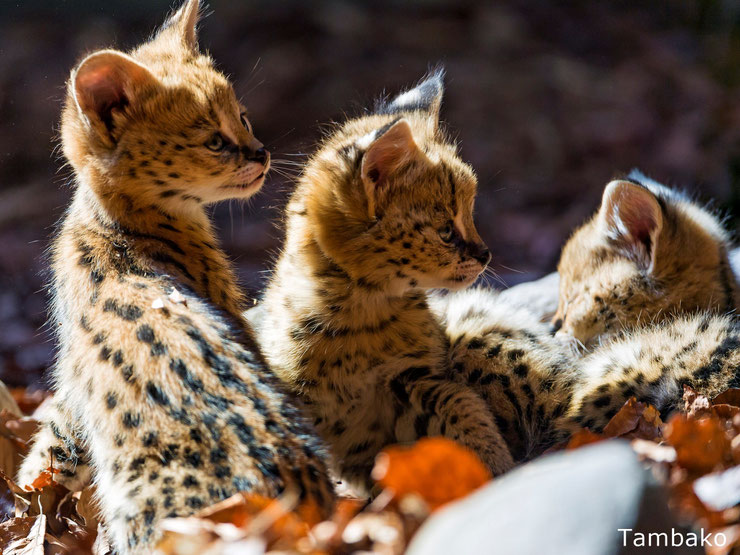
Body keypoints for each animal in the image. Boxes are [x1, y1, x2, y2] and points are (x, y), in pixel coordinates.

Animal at [15, 2, 334, 552]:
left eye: (243, 117)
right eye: (214, 140)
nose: (261, 153)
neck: (119, 225)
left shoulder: (72, 378)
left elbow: (52, 441)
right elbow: (53, 443)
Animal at [260, 70, 516, 490]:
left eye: (471, 214)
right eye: (446, 231)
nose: (486, 255)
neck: (361, 316)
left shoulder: (413, 380)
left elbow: (463, 407)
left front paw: (498, 465)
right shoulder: (300, 397)